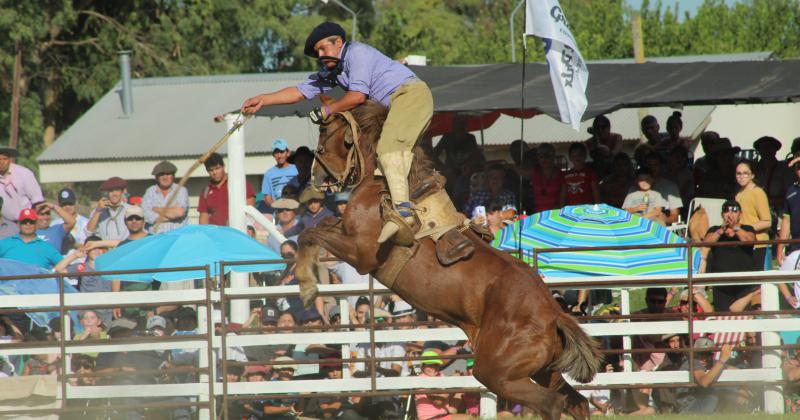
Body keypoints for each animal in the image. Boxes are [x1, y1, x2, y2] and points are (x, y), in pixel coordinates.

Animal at [296, 101, 600, 420]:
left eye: (324, 133)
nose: (315, 179)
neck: (382, 185)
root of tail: (553, 316)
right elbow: (318, 227)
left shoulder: (363, 254)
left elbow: (310, 232)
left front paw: (307, 286)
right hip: (543, 371)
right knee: (577, 401)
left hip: (497, 373)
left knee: (551, 403)